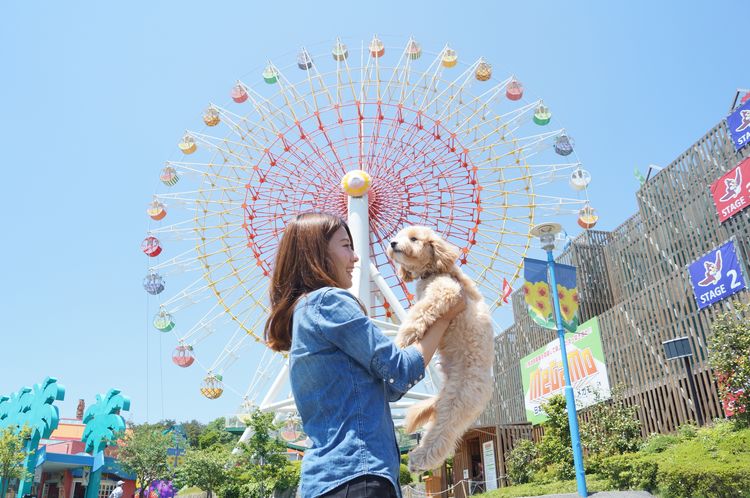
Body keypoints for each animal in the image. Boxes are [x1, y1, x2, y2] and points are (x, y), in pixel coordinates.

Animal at [388, 226, 500, 470]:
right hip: (445, 403)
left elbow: (417, 315)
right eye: (399, 236)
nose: (392, 243)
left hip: (457, 404)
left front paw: (401, 339)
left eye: (414, 238)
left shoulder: (445, 292)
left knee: (442, 437)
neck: (434, 271)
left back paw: (418, 461)